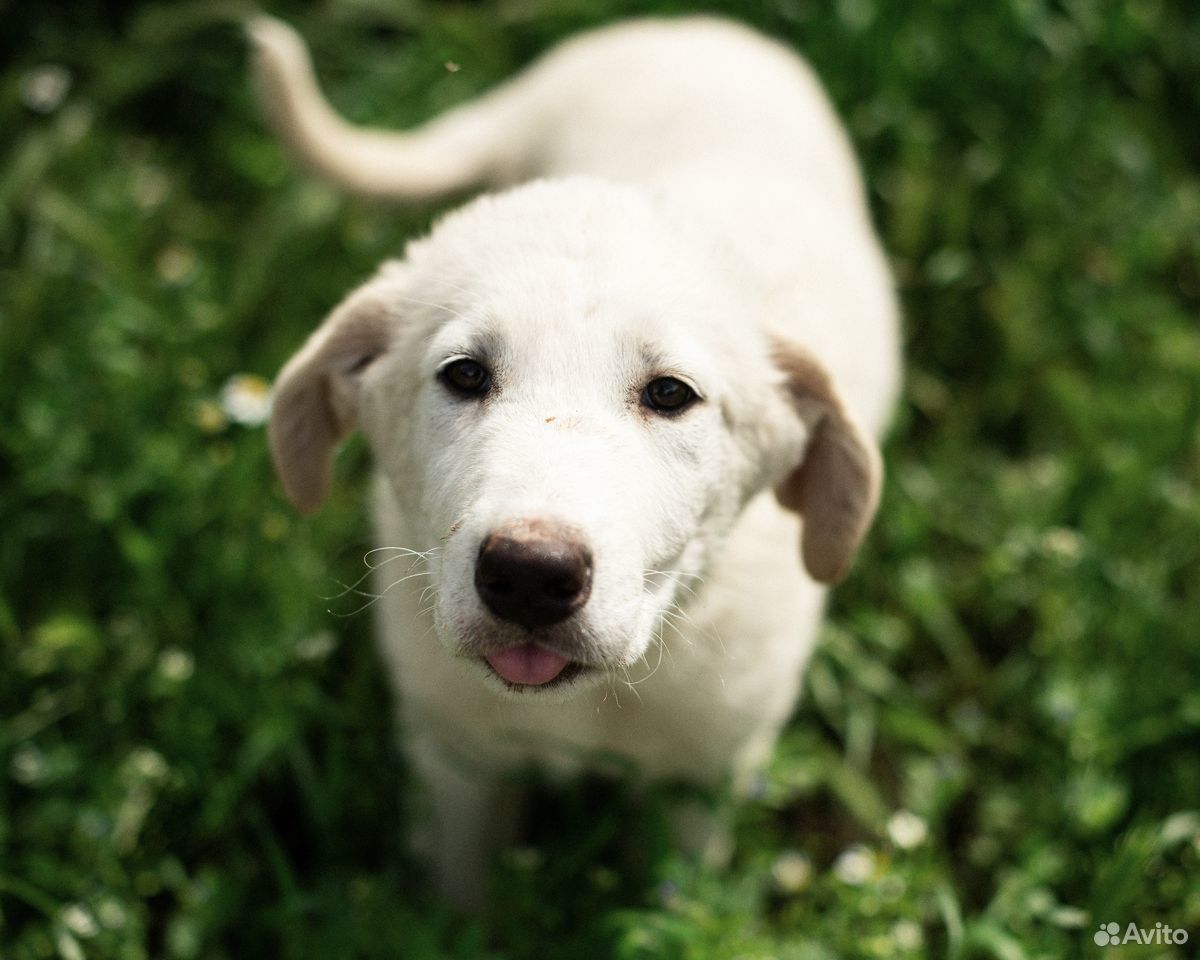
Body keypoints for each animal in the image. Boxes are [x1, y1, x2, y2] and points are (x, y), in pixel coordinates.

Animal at [250, 13, 902, 907]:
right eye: (464, 375)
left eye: (670, 394)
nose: (529, 573)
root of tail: (679, 28)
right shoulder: (456, 758)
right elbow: (461, 889)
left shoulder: (703, 775)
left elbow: (672, 895)